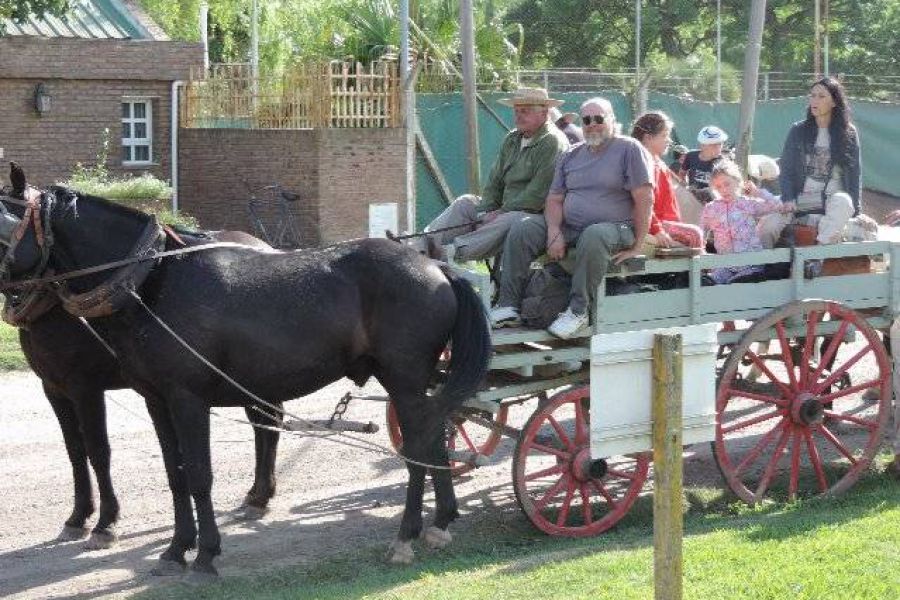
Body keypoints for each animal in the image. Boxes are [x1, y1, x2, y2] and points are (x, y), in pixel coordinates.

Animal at [10, 229, 282, 548]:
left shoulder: (85, 388)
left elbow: (97, 451)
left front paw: (106, 523)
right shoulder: (53, 389)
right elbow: (75, 451)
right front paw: (78, 518)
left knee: (268, 423)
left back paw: (260, 496)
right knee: (265, 424)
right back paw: (257, 495)